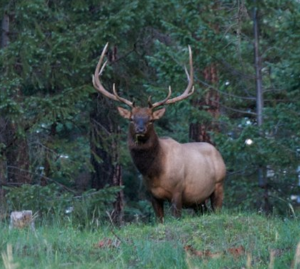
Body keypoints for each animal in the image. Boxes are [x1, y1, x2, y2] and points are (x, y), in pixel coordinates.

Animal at [92, 43, 226, 221]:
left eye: (151, 120)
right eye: (131, 119)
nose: (140, 130)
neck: (154, 172)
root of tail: (218, 153)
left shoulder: (178, 191)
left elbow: (176, 216)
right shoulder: (153, 195)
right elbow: (159, 220)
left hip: (219, 185)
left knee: (218, 208)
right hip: (198, 201)